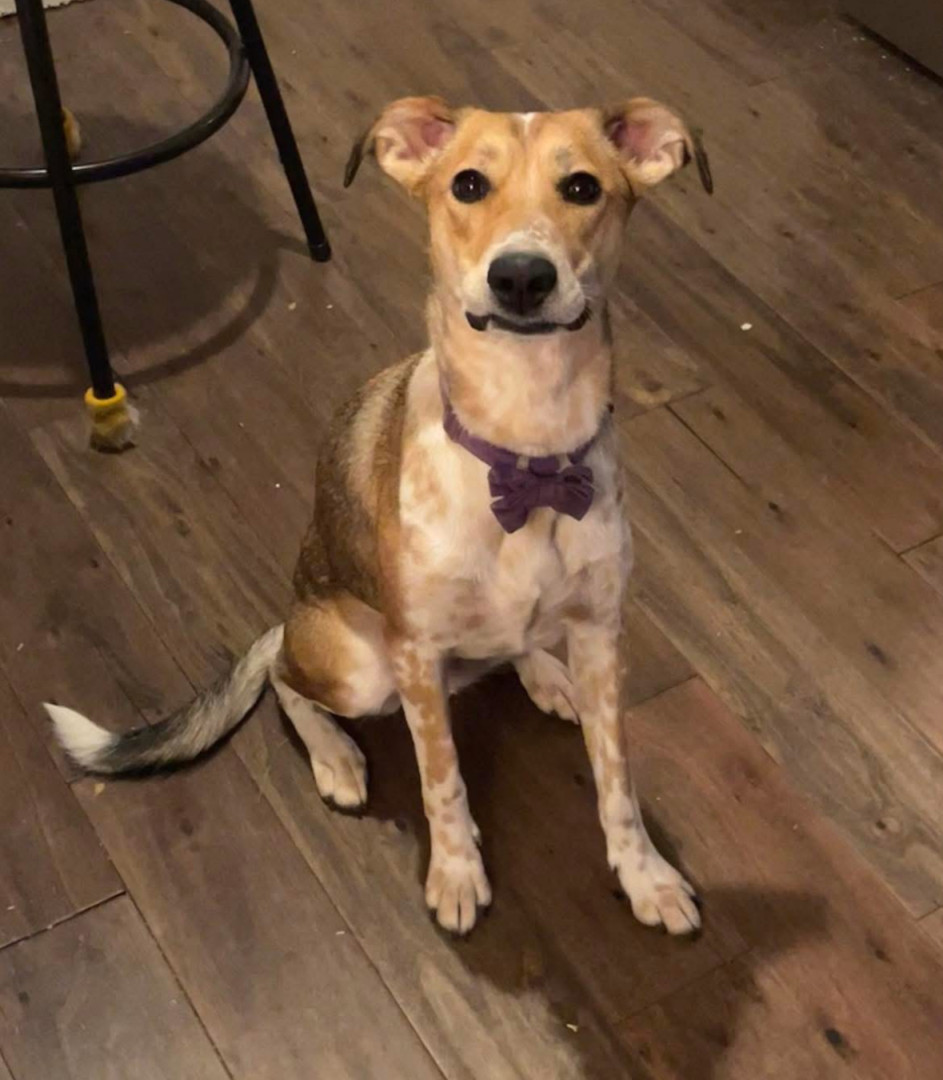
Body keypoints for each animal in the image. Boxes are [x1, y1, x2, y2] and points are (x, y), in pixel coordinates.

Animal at [48, 96, 712, 937]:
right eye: (468, 184)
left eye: (583, 188)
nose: (520, 276)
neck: (523, 453)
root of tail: (288, 616)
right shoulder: (416, 658)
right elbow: (442, 780)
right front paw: (456, 874)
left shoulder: (599, 632)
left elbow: (617, 780)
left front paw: (644, 876)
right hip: (358, 667)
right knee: (285, 682)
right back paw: (335, 757)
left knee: (514, 647)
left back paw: (541, 674)